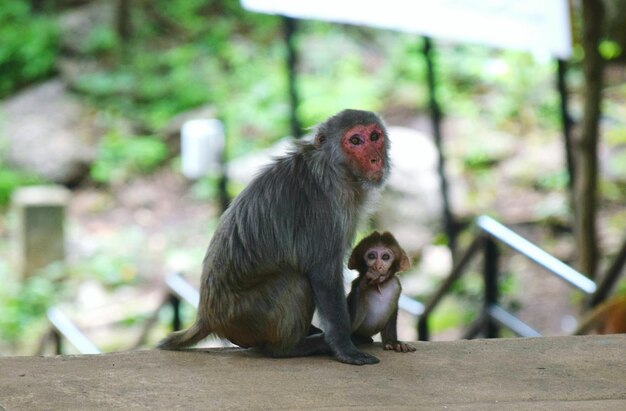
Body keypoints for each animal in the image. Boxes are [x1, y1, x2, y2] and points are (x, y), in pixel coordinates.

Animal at [157, 109, 386, 366]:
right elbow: (322, 273)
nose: (375, 159)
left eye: (375, 136)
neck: (334, 170)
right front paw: (344, 347)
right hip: (248, 315)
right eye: (355, 140)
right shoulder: (325, 209)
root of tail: (207, 316)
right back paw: (292, 348)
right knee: (295, 280)